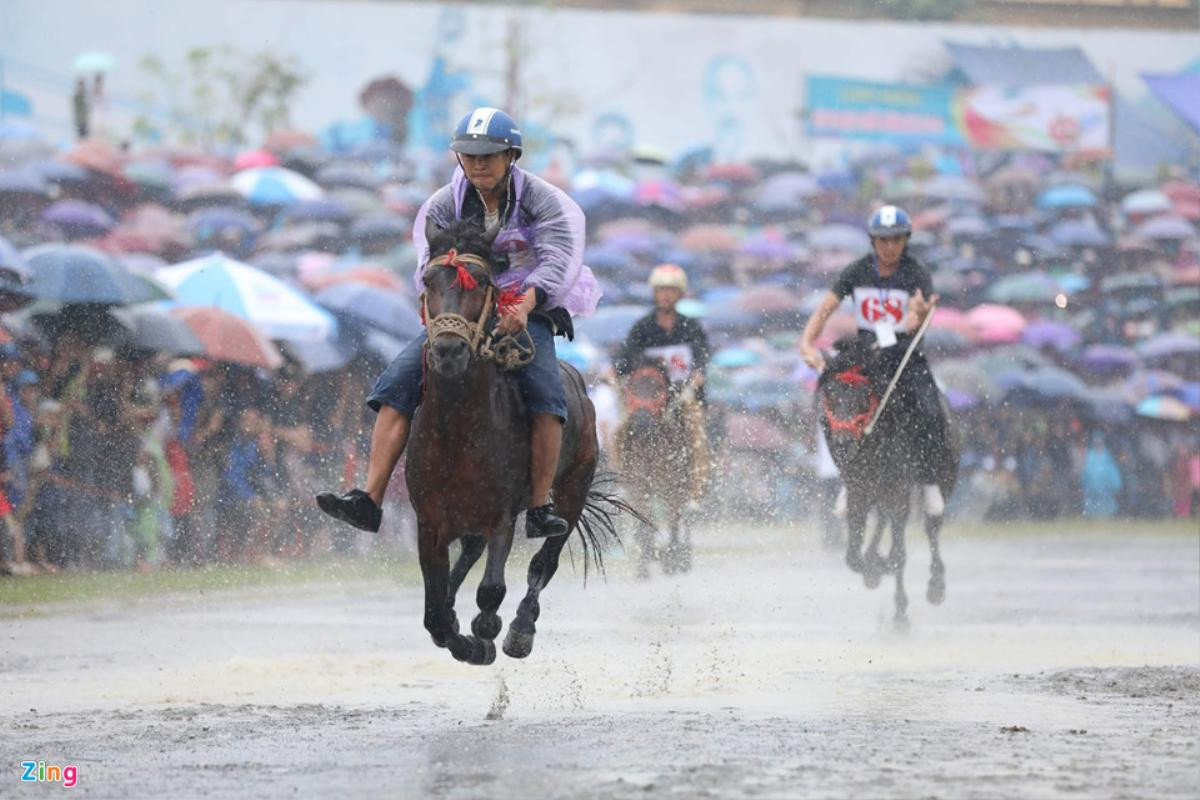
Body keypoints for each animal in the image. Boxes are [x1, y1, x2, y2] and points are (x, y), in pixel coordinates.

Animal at [408, 219, 624, 662]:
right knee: (469, 556)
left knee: (545, 560)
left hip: (574, 485)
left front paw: (485, 634)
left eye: (481, 282)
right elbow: (434, 615)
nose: (448, 350)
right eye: (429, 280)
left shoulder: (502, 514)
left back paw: (522, 628)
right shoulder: (430, 521)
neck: (457, 431)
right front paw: (461, 638)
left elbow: (492, 591)